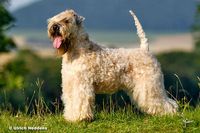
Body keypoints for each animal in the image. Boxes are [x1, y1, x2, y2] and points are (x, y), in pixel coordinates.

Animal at [47, 9, 178, 121]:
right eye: (54, 19)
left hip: (150, 86)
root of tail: (145, 49)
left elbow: (80, 101)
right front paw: (70, 117)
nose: (54, 27)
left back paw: (169, 114)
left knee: (165, 102)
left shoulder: (81, 84)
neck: (75, 52)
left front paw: (80, 118)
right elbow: (71, 101)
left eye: (66, 20)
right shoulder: (69, 84)